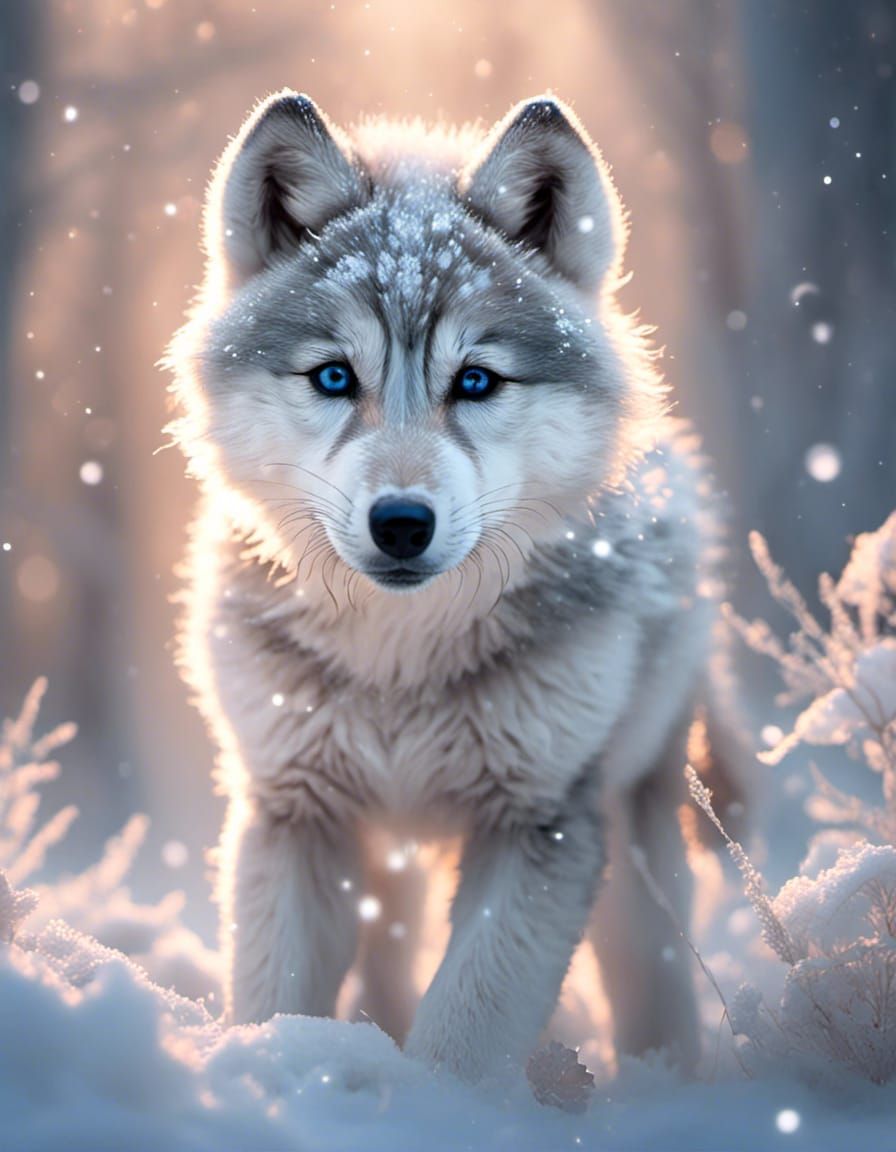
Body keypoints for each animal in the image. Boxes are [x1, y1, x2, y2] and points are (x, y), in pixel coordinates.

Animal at [167, 90, 747, 1083]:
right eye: (334, 376)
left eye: (475, 381)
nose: (402, 522)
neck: (402, 658)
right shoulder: (295, 811)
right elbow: (279, 999)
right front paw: (284, 1073)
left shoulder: (540, 821)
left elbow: (467, 1028)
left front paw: (430, 1098)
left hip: (634, 824)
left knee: (653, 963)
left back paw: (666, 1079)